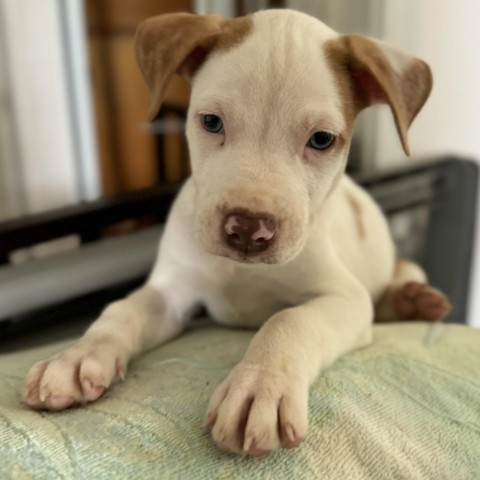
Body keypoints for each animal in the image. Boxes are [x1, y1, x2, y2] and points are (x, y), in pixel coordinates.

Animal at [22, 9, 450, 456]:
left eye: (321, 139)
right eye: (211, 122)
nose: (247, 228)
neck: (243, 272)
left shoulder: (344, 298)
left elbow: (288, 320)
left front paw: (259, 385)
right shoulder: (171, 291)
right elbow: (121, 311)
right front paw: (75, 357)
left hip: (394, 271)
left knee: (396, 285)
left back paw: (413, 301)